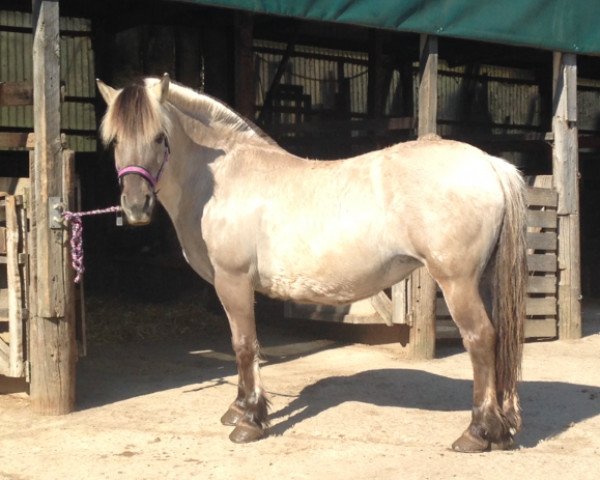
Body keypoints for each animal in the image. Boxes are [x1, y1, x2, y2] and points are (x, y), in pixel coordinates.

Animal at [97, 73, 524, 452]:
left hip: (457, 282)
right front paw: (239, 408)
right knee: (497, 337)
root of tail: (490, 164)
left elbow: (245, 345)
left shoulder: (233, 281)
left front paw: (249, 422)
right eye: (115, 140)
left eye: (159, 137)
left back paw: (477, 433)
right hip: (482, 281)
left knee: (480, 339)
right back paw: (502, 429)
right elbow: (240, 345)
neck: (221, 179)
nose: (135, 207)